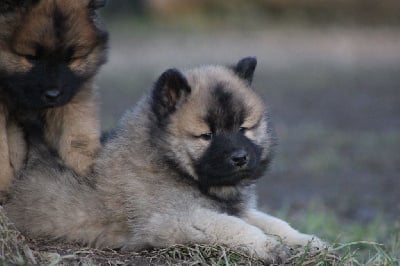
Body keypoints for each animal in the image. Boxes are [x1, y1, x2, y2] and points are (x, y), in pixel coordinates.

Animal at [0, 0, 108, 200]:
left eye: (70, 59)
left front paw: (88, 170)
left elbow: (77, 132)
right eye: (31, 58)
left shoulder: (74, 90)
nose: (52, 94)